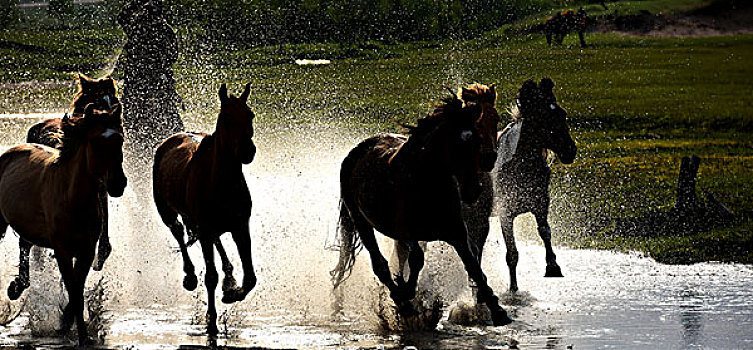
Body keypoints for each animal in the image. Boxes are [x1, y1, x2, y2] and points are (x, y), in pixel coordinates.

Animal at [0, 102, 127, 344]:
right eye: (96, 141)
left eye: (121, 139)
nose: (118, 183)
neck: (73, 197)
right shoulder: (62, 250)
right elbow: (73, 288)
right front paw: (79, 334)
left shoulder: (86, 251)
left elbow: (77, 288)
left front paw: (67, 325)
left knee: (25, 245)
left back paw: (18, 286)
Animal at [153, 82, 258, 336]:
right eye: (227, 118)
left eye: (250, 115)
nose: (247, 151)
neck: (222, 182)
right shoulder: (206, 227)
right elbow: (210, 277)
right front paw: (211, 319)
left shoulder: (241, 227)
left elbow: (250, 277)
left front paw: (232, 292)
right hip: (168, 213)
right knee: (178, 233)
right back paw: (190, 276)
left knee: (215, 242)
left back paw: (229, 277)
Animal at [328, 86, 512, 326]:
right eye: (457, 145)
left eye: (495, 120)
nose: (473, 189)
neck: (426, 183)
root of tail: (357, 151)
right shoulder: (405, 231)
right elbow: (416, 259)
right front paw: (405, 293)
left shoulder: (458, 233)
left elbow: (473, 265)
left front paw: (497, 310)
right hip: (361, 221)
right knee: (380, 264)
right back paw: (401, 303)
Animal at [464, 78, 576, 292]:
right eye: (542, 118)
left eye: (562, 113)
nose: (570, 151)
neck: (520, 165)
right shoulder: (505, 213)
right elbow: (512, 253)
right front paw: (513, 288)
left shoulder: (541, 204)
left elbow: (545, 232)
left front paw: (553, 266)